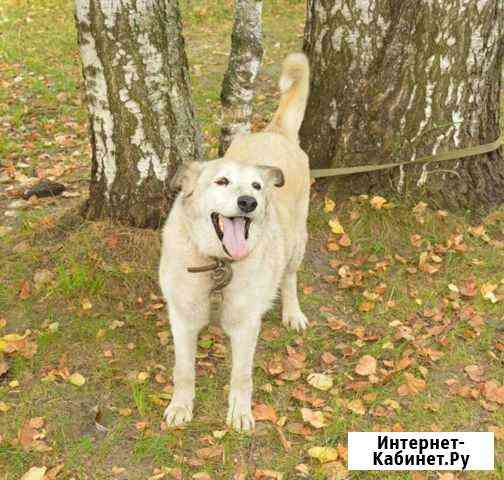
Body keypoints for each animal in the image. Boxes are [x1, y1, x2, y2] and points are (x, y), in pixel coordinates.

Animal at [160, 52, 312, 432]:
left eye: (257, 186)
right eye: (222, 181)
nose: (249, 202)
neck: (217, 264)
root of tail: (275, 131)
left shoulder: (245, 327)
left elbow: (241, 376)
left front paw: (240, 413)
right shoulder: (182, 320)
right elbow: (183, 371)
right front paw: (181, 406)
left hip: (297, 242)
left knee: (289, 278)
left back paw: (292, 312)